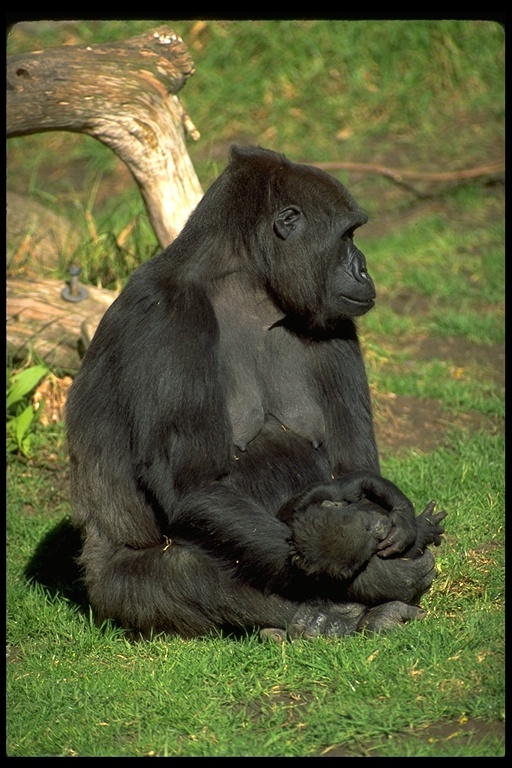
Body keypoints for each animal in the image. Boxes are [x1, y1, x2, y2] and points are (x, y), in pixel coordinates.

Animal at [66, 146, 446, 640]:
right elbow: (196, 487)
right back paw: (324, 616)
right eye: (347, 236)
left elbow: (352, 464)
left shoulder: (335, 320)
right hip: (104, 590)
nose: (363, 267)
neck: (250, 288)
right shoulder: (169, 317)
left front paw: (392, 511)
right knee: (179, 573)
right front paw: (378, 571)